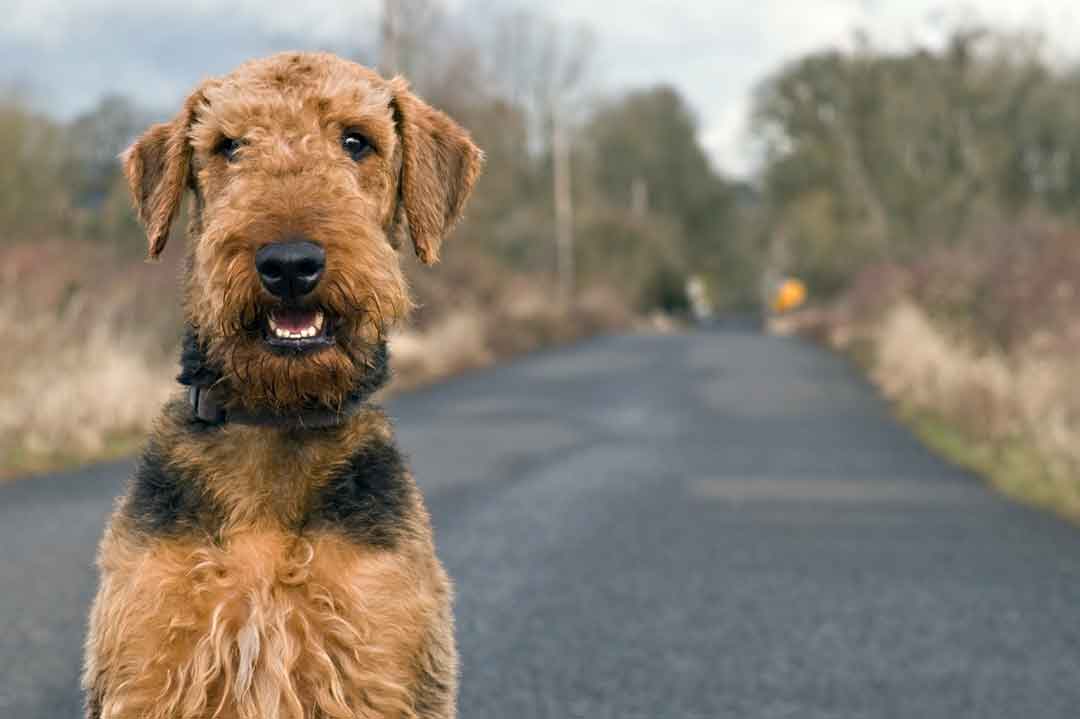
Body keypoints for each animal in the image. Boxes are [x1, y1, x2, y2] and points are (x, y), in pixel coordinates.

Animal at [84, 51, 486, 716]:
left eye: (356, 141)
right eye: (228, 145)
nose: (290, 264)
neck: (274, 421)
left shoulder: (376, 672)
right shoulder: (149, 672)